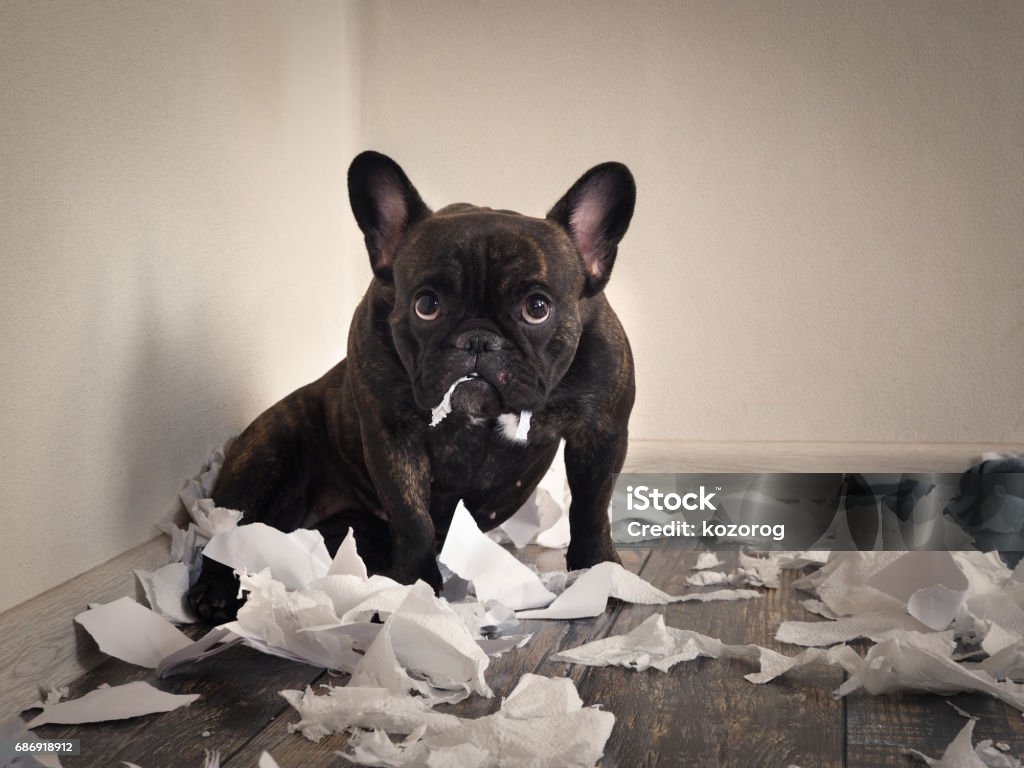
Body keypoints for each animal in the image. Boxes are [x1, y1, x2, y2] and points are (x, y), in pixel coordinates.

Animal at [184, 151, 630, 626]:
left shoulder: (601, 433)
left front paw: (598, 570)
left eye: (537, 308)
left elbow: (591, 506)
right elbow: (411, 517)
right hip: (266, 454)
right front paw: (414, 587)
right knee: (228, 533)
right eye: (426, 305)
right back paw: (216, 589)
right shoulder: (393, 435)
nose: (478, 340)